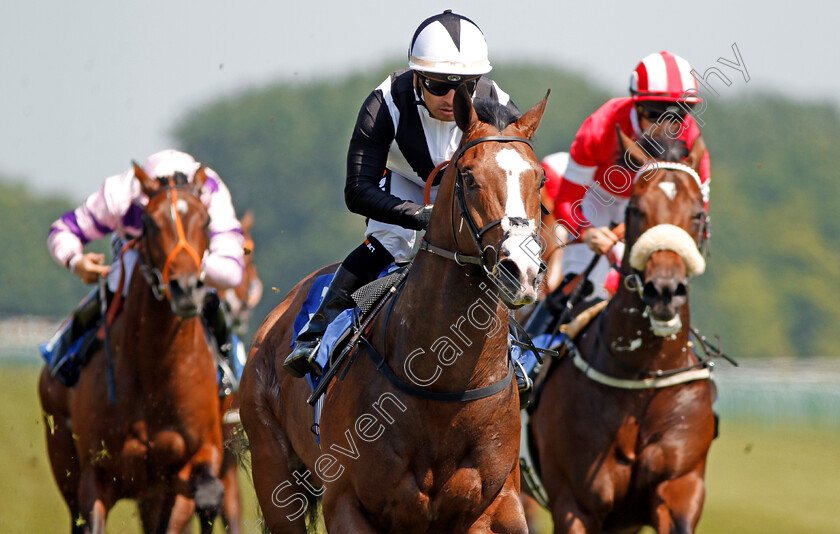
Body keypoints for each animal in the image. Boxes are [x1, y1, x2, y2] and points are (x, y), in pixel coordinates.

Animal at [39, 168, 225, 534]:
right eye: (150, 222)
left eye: (208, 219)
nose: (185, 288)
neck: (155, 371)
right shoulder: (96, 475)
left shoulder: (197, 457)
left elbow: (209, 495)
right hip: (62, 454)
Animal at [238, 86, 552, 532]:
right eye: (469, 177)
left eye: (539, 178)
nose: (521, 271)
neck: (441, 381)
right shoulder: (347, 504)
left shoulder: (497, 505)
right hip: (272, 469)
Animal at [528, 131, 712, 534]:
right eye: (636, 210)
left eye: (698, 213)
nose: (664, 290)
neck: (640, 375)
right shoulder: (574, 503)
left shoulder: (681, 487)